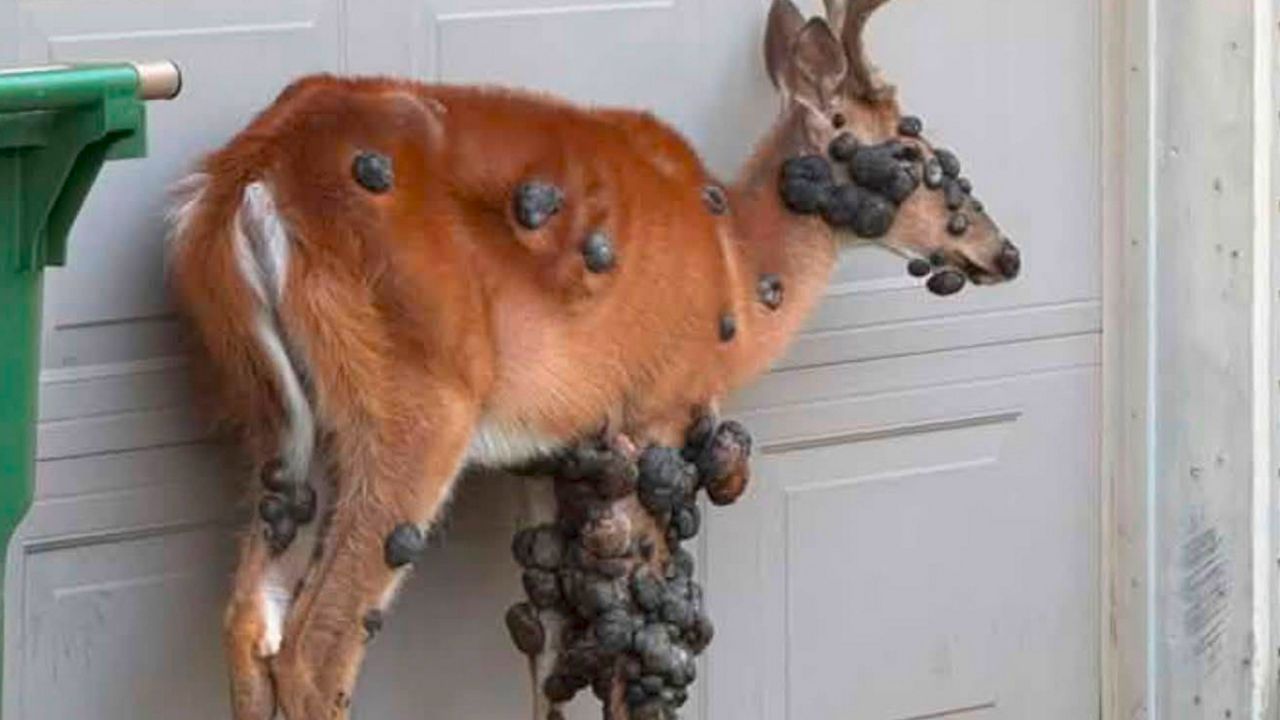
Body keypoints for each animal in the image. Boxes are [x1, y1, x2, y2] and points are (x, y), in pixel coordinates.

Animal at [166, 0, 1020, 717]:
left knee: (248, 625)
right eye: (910, 150)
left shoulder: (555, 452)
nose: (1003, 253)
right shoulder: (655, 414)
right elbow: (631, 651)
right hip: (416, 398)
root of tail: (248, 176)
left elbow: (549, 650)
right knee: (318, 649)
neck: (741, 273)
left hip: (275, 415)